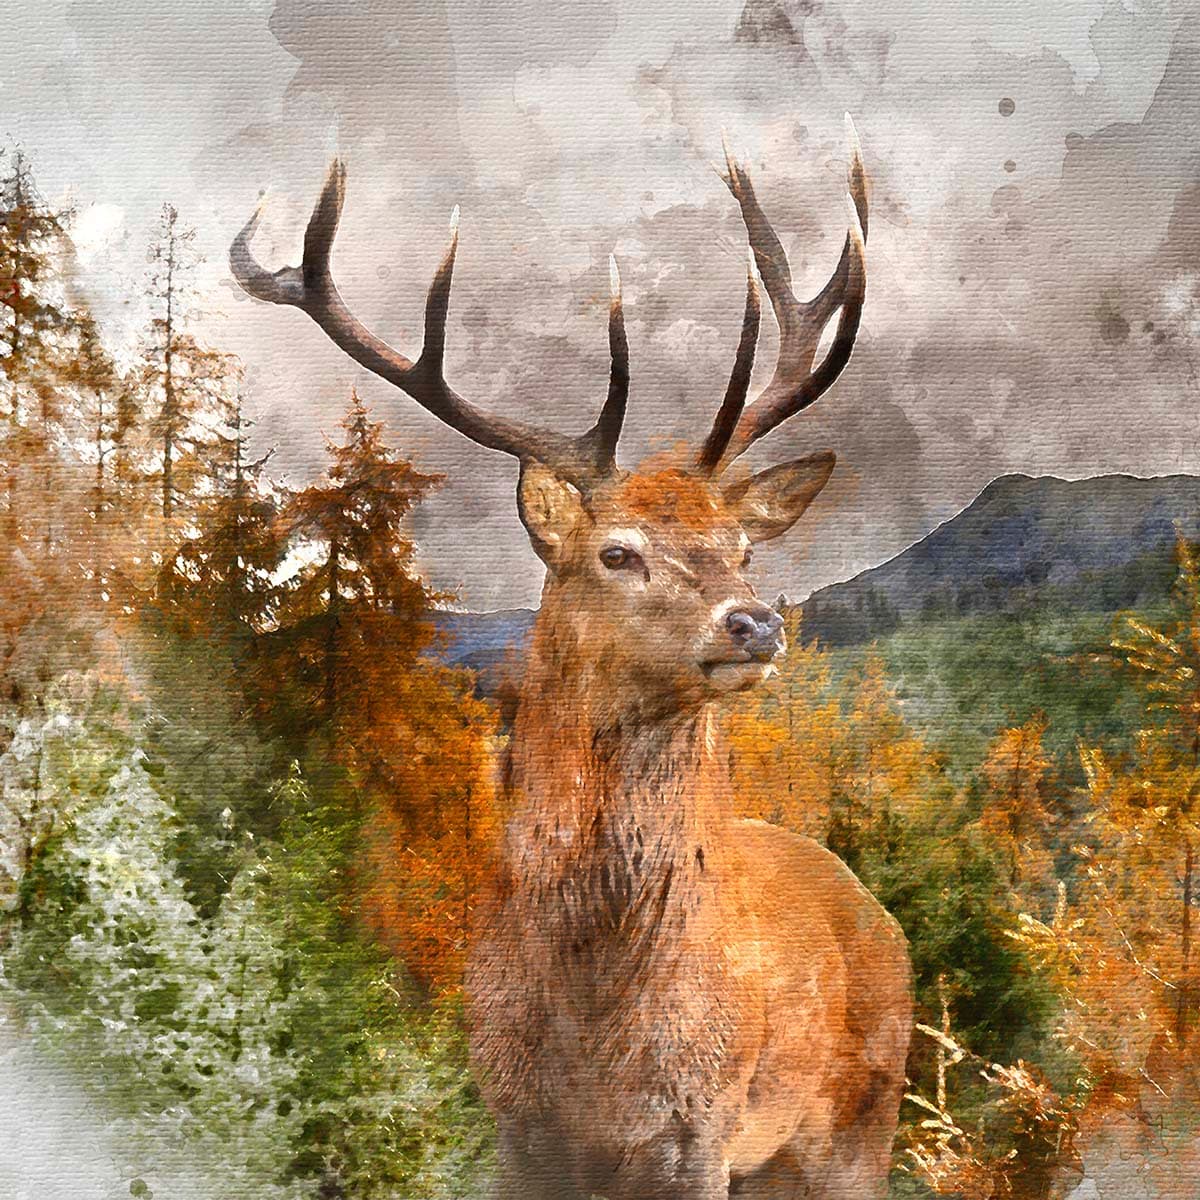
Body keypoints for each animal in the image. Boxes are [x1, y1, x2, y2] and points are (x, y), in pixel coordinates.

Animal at [230, 117, 913, 1200]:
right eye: (617, 552)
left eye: (744, 549)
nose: (756, 624)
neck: (596, 1039)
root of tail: (877, 913)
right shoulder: (512, 1123)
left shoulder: (701, 1133)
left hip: (856, 1126)